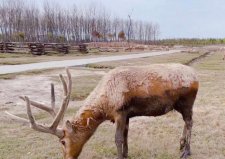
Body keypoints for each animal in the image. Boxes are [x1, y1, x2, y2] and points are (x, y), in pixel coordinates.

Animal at [6, 63, 198, 159]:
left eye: (63, 141)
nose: (67, 158)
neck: (104, 108)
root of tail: (196, 77)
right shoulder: (126, 114)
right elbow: (125, 136)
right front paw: (126, 154)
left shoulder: (120, 111)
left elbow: (118, 138)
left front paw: (120, 157)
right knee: (186, 122)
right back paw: (181, 144)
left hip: (187, 101)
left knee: (190, 122)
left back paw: (186, 151)